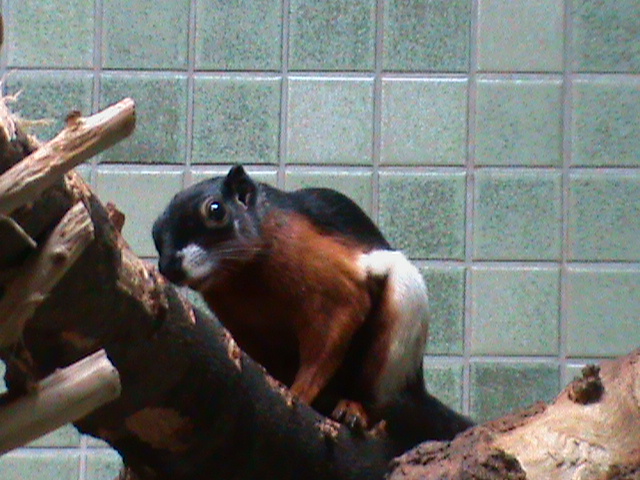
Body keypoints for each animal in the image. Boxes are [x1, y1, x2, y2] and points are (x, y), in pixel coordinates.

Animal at [152, 165, 473, 444]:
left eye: (215, 210)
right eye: (155, 235)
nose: (169, 267)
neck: (243, 279)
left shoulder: (332, 289)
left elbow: (325, 344)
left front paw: (298, 395)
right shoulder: (245, 329)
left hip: (399, 325)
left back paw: (355, 409)